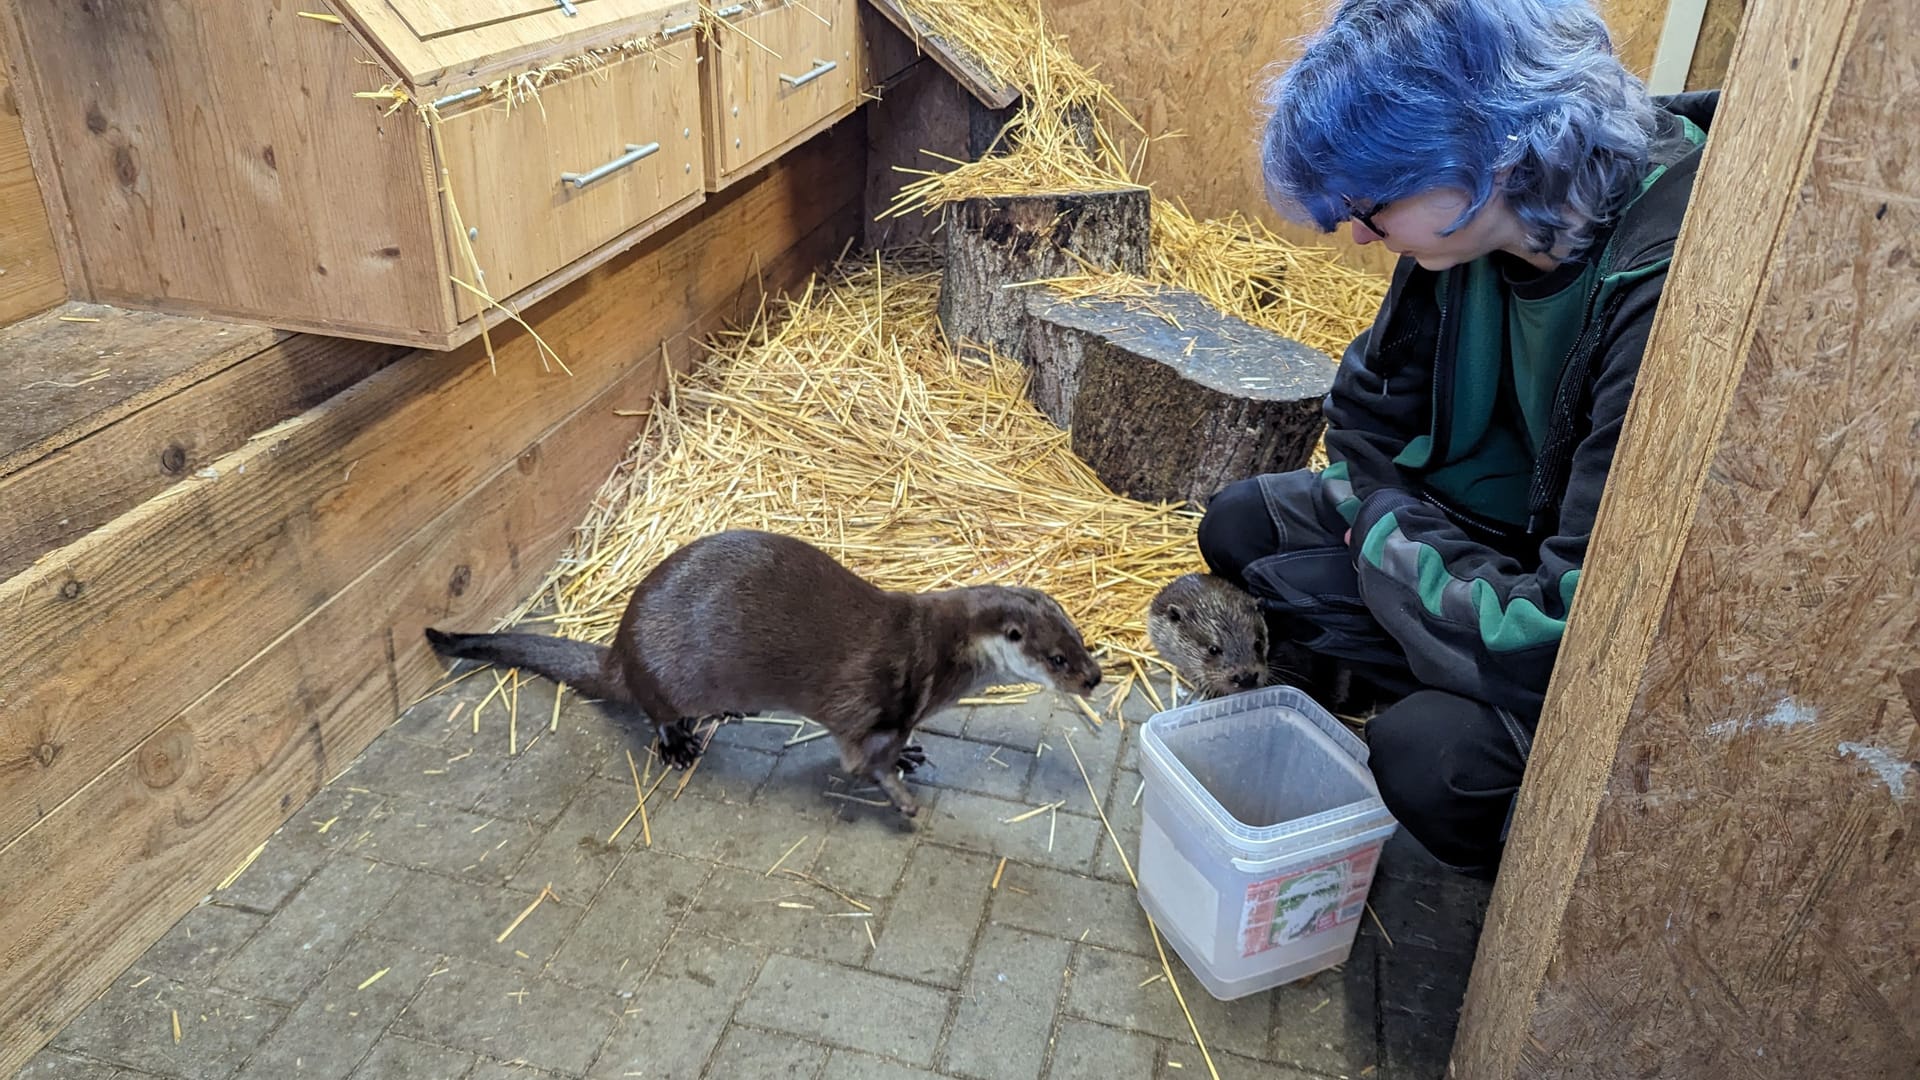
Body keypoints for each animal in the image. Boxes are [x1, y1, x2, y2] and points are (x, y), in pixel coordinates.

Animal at [426, 526, 1105, 810]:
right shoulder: (872, 706)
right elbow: (862, 762)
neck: (939, 651)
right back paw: (678, 743)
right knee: (654, 711)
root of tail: (621, 648)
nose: (1094, 678)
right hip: (664, 676)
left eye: (1082, 641)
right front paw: (901, 796)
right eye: (1057, 658)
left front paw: (912, 755)